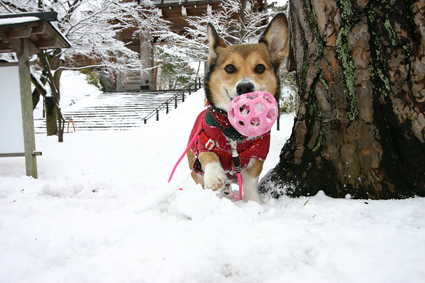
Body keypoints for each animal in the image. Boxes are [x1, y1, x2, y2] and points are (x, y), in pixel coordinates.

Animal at [186, 13, 288, 204]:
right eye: (230, 68)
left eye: (260, 68)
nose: (245, 87)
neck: (234, 131)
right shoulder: (203, 142)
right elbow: (208, 155)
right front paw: (214, 176)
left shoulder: (257, 155)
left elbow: (250, 183)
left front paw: (254, 203)